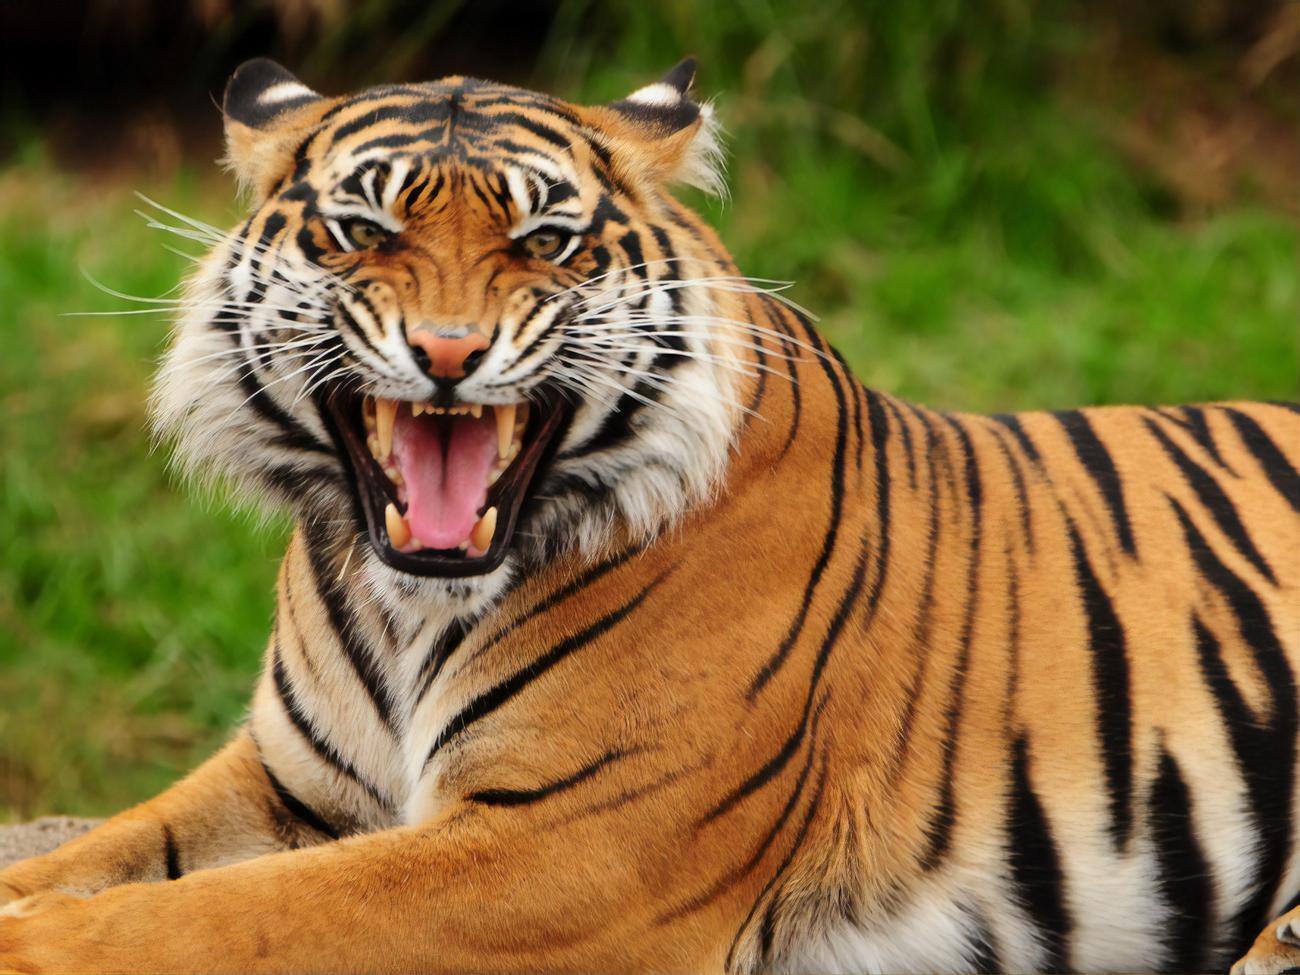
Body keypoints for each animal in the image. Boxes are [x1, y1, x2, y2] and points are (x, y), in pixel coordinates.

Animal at [0, 55, 1296, 975]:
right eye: (364, 231)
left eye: (545, 241)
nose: (448, 354)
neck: (404, 608)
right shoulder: (292, 787)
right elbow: (118, 859)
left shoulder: (566, 851)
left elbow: (214, 920)